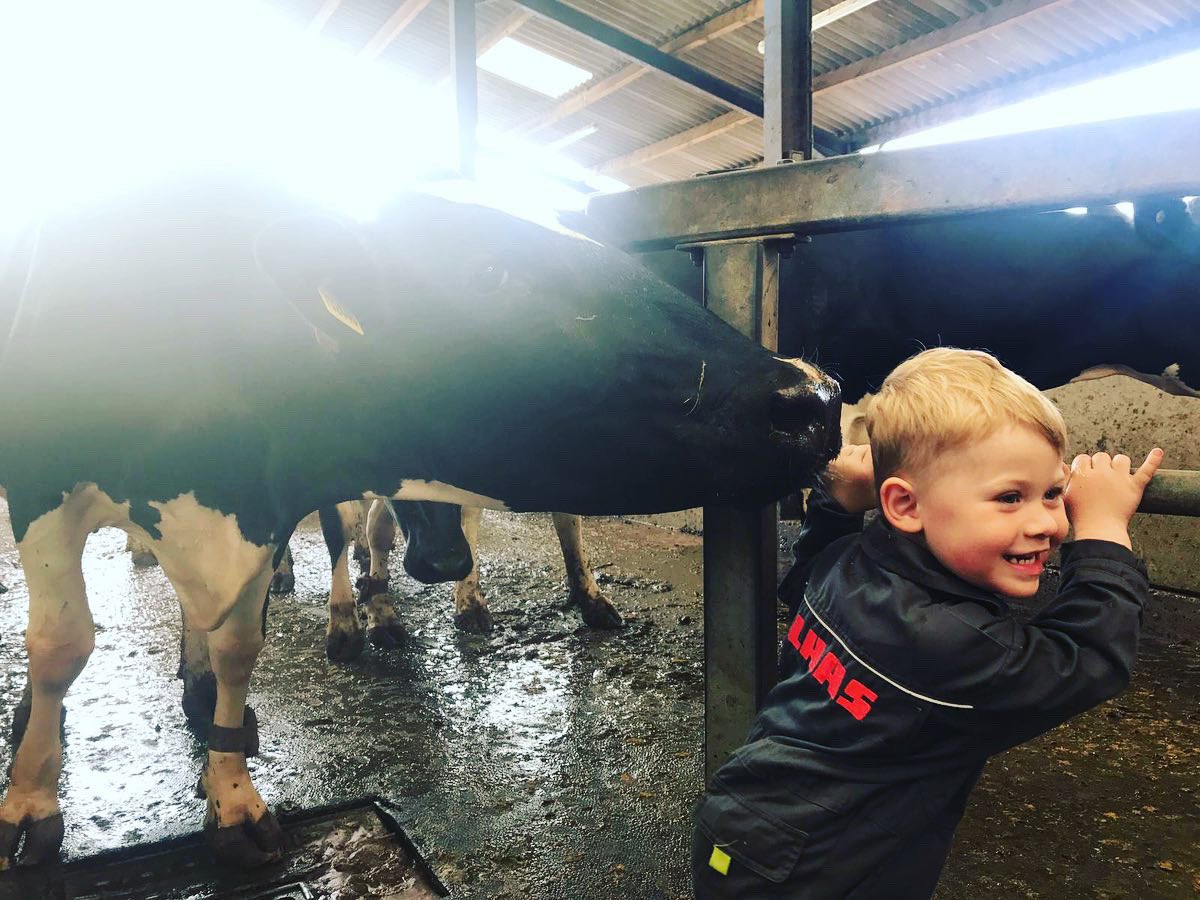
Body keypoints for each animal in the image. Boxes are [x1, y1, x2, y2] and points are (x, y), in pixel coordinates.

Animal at [0, 175, 841, 868]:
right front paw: (31, 805)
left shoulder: (262, 501)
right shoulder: (40, 484)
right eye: (485, 274)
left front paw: (233, 794)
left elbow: (241, 646)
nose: (813, 397)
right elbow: (62, 644)